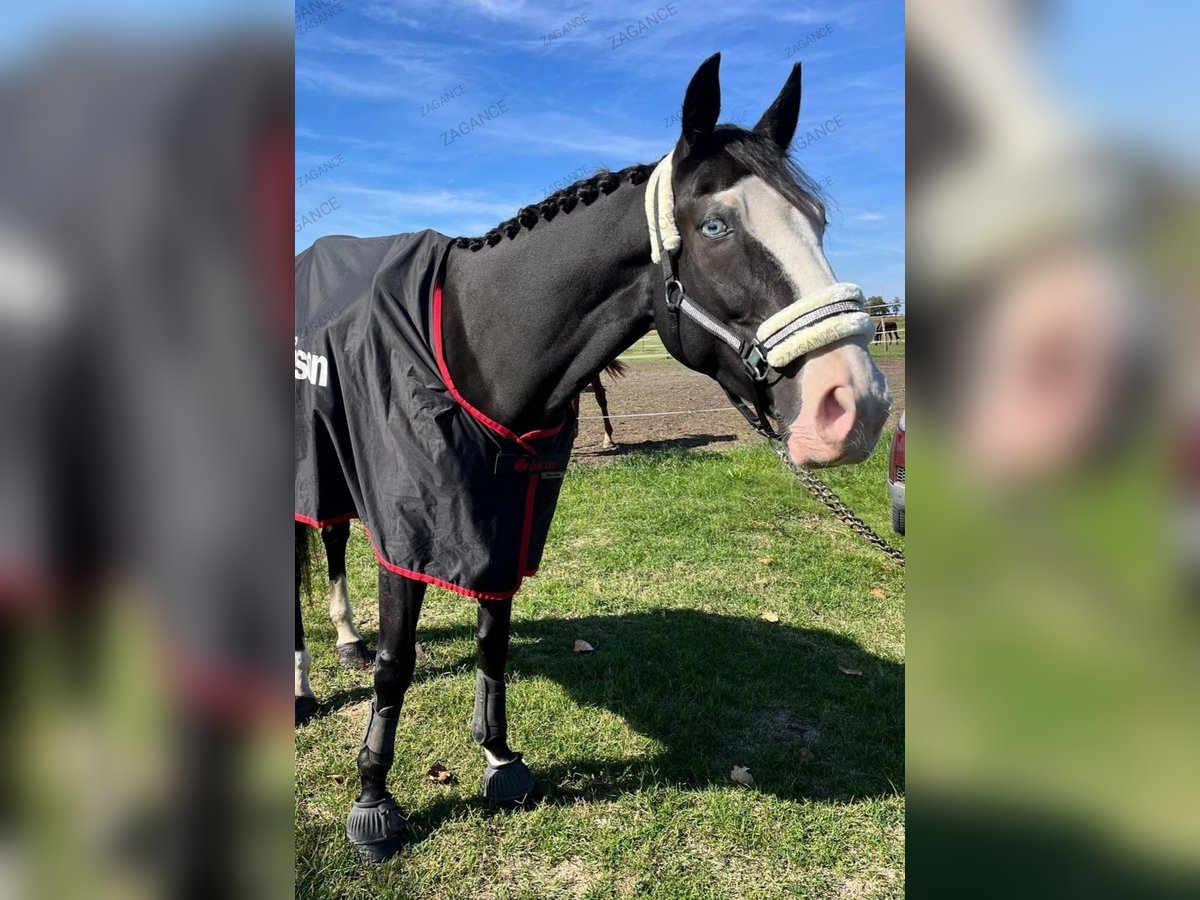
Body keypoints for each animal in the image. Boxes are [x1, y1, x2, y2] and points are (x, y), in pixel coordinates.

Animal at [292, 56, 892, 868]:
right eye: (716, 225)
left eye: (817, 220)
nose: (856, 405)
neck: (476, 346)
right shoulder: (411, 530)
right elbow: (398, 666)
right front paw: (374, 803)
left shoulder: (503, 524)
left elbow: (492, 642)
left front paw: (501, 761)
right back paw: (301, 689)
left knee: (329, 538)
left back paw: (345, 641)